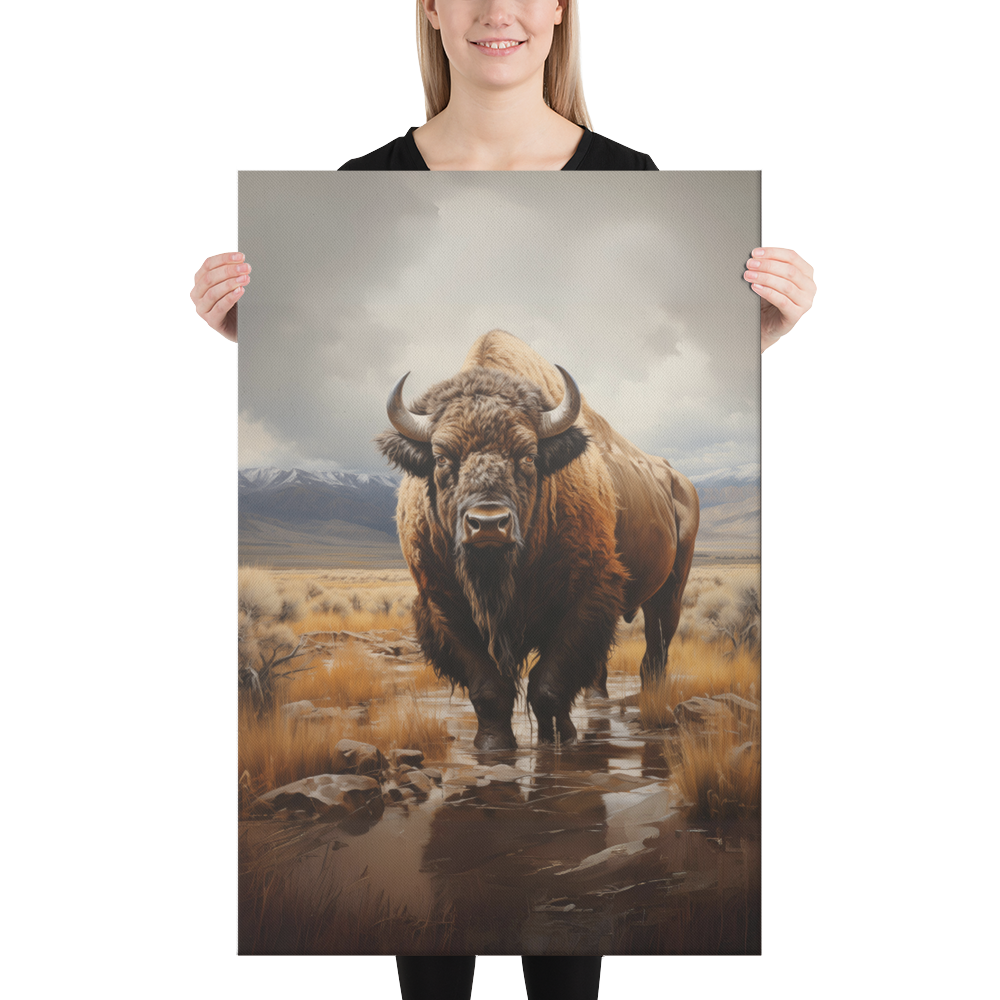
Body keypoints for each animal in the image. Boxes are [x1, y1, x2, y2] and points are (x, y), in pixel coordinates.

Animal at [376, 331, 699, 751]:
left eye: (528, 456)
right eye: (442, 457)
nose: (488, 524)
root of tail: (678, 482)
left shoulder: (585, 596)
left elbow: (549, 683)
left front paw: (560, 738)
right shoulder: (444, 606)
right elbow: (488, 688)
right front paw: (493, 744)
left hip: (670, 591)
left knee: (654, 654)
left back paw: (650, 704)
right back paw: (598, 701)